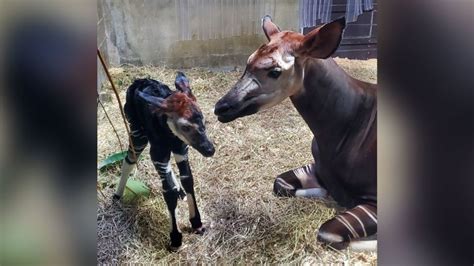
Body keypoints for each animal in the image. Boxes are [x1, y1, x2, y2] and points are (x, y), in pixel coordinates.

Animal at [114, 71, 214, 250]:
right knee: (129, 159)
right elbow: (168, 191)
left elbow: (187, 179)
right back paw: (117, 195)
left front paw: (197, 223)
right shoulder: (159, 153)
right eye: (185, 126)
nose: (210, 150)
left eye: (203, 120)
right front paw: (175, 239)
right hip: (137, 131)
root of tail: (139, 80)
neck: (170, 136)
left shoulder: (181, 150)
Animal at [216, 16, 378, 249]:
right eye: (248, 62)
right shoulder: (316, 168)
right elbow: (280, 184)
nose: (221, 107)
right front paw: (325, 193)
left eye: (274, 71)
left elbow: (330, 234)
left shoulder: (375, 200)